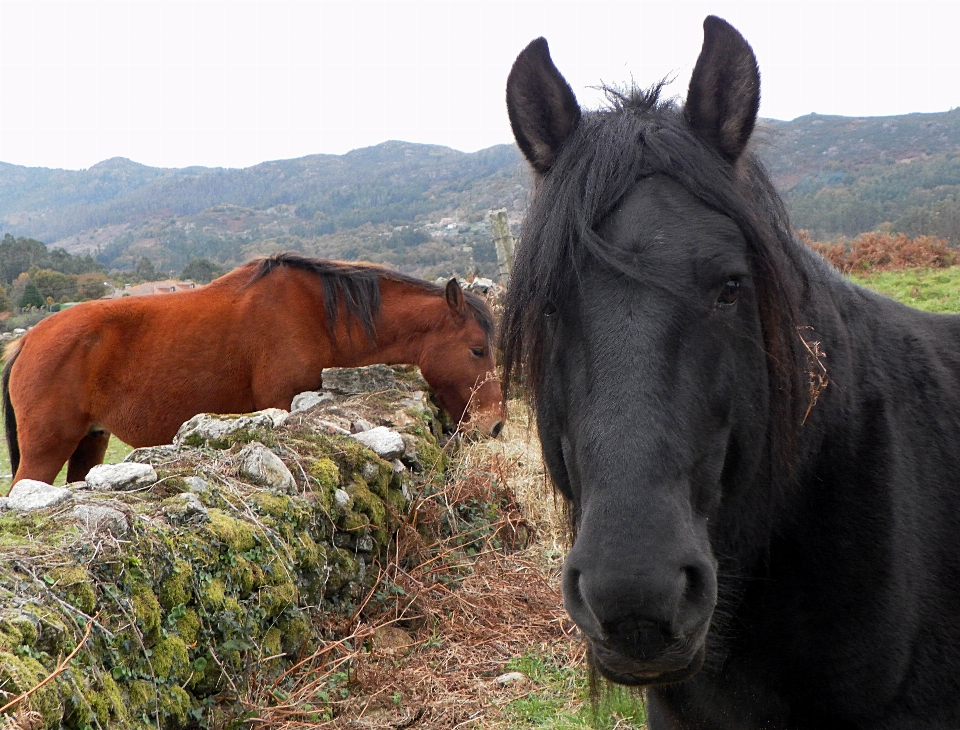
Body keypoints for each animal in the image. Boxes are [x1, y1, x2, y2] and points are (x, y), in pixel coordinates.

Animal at [1, 250, 502, 484]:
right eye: (478, 350)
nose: (495, 424)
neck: (322, 315)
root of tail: (27, 340)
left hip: (91, 442)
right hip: (45, 451)